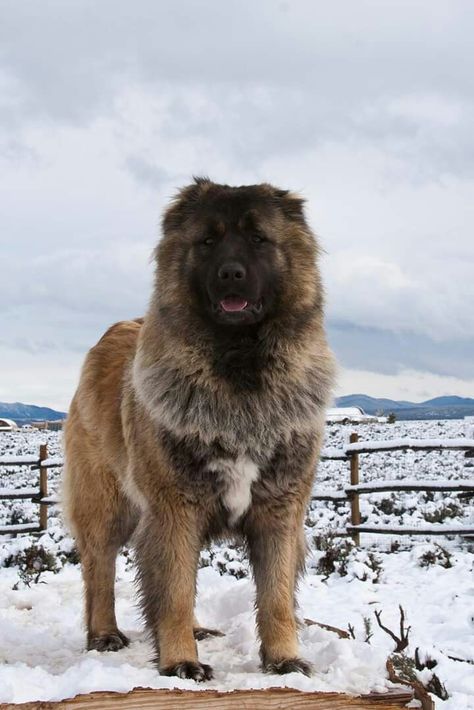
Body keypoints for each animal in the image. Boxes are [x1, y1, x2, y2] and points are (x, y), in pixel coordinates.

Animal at [63, 178, 336, 684]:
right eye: (207, 242)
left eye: (258, 239)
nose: (231, 274)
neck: (238, 374)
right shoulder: (174, 507)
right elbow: (171, 593)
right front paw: (180, 662)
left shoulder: (279, 510)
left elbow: (275, 596)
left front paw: (284, 659)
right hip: (107, 504)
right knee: (99, 571)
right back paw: (104, 634)